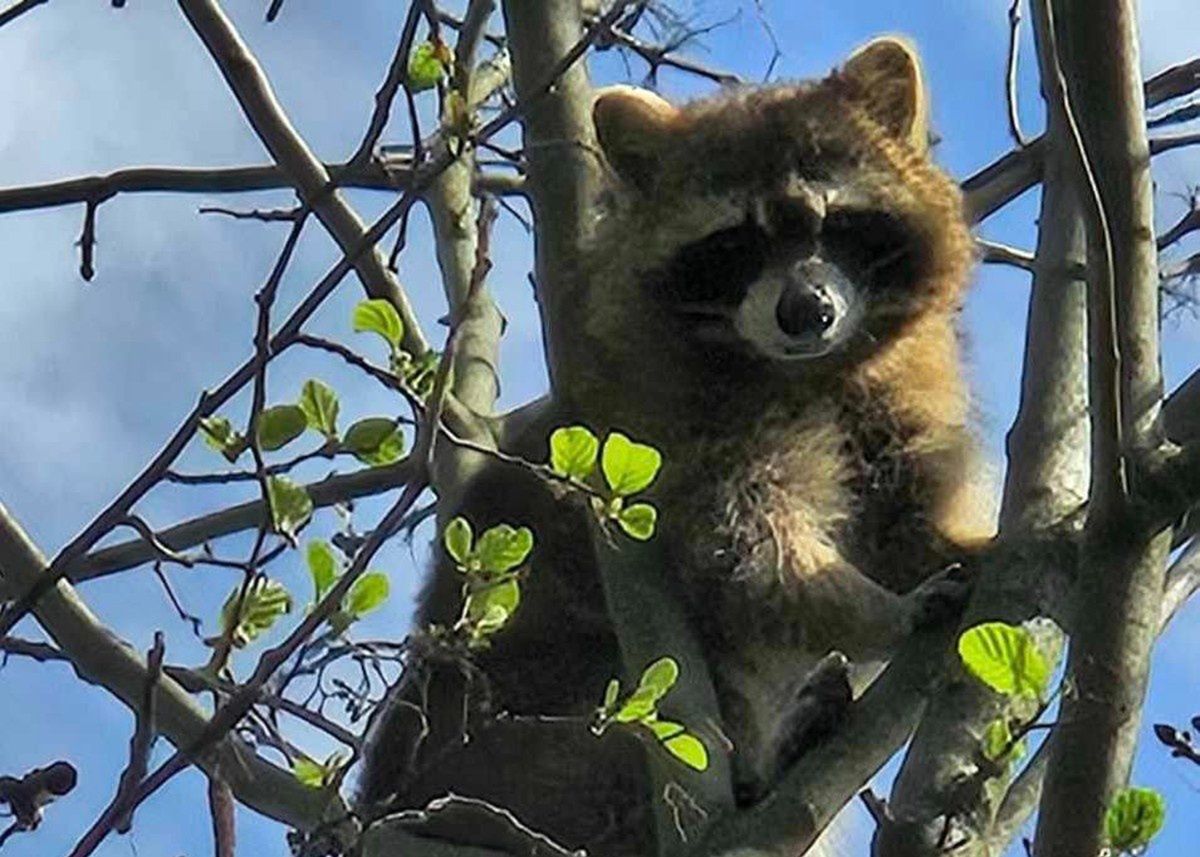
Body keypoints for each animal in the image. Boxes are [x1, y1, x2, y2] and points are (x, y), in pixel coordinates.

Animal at [357, 35, 993, 854]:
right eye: (737, 242)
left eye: (834, 221)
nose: (806, 311)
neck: (808, 368)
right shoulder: (673, 427)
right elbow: (748, 560)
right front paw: (877, 609)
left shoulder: (893, 405)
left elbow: (900, 527)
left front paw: (962, 548)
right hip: (522, 735)